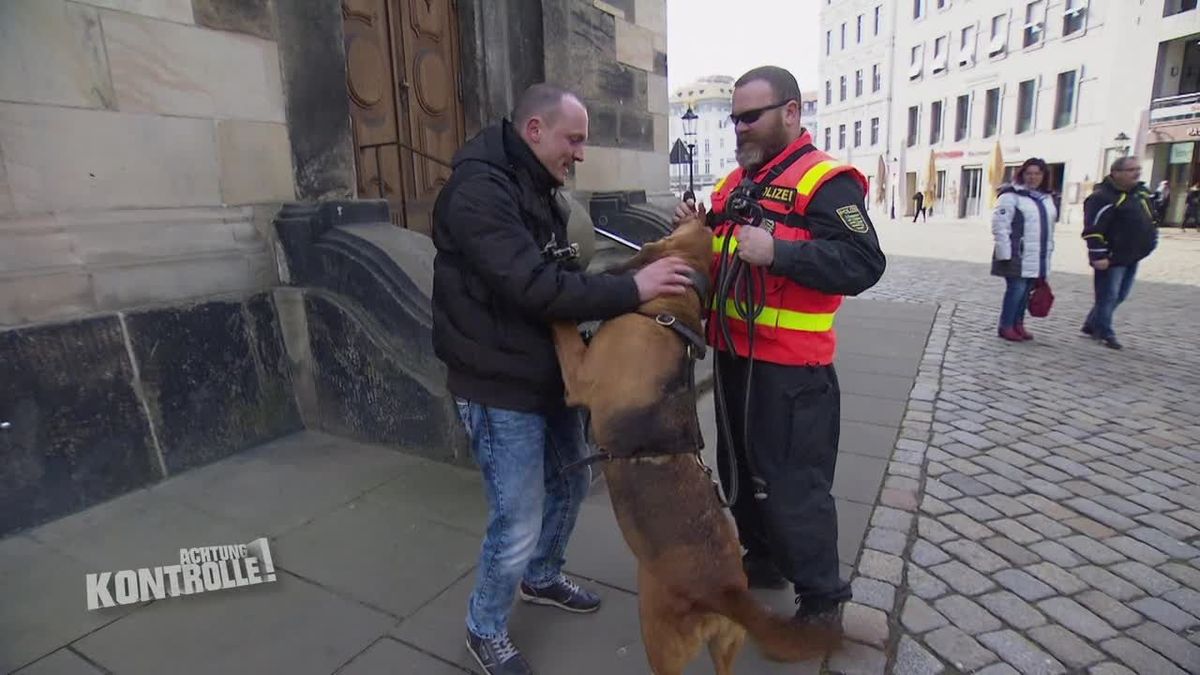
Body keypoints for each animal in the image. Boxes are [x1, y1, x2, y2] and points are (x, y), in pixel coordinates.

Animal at [549, 207, 840, 667]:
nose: (693, 205)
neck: (668, 310)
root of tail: (725, 590)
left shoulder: (578, 377)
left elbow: (560, 323)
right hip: (727, 643)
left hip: (657, 636)